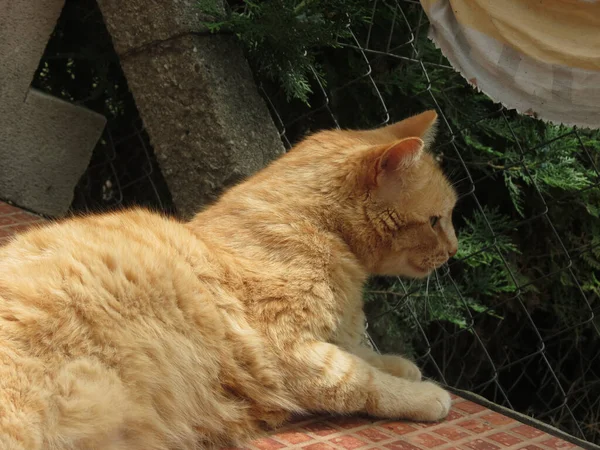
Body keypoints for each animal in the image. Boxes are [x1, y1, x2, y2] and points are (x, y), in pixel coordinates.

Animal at [1, 110, 460, 450]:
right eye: (436, 221)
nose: (455, 250)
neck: (321, 233)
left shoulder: (328, 337)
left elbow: (366, 354)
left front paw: (403, 366)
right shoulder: (288, 351)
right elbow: (363, 380)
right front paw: (424, 395)